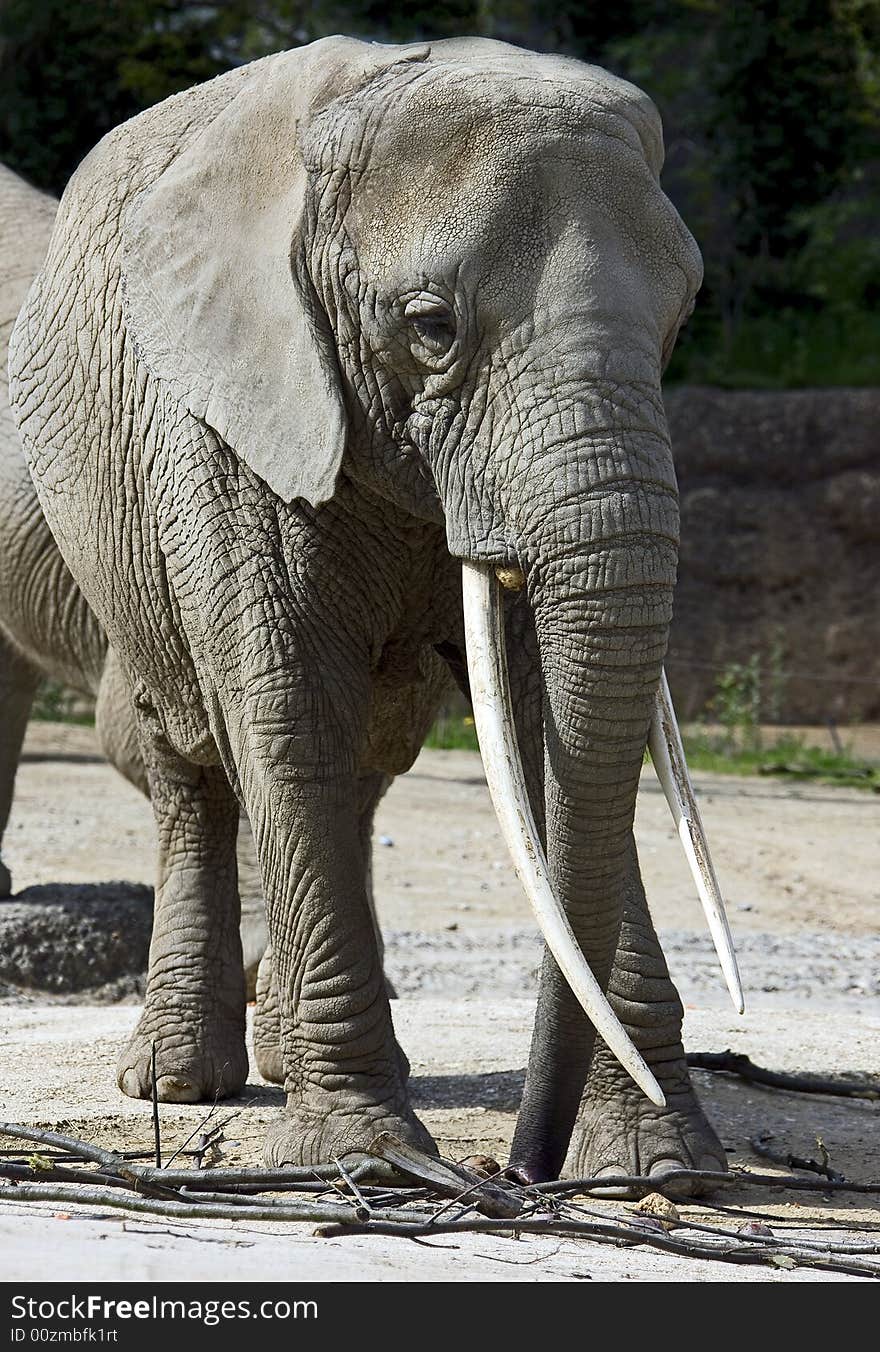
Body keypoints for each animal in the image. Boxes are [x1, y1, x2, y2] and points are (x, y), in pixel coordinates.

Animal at [10, 37, 735, 1184]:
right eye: (431, 327)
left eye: (681, 319)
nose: (524, 1166)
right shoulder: (224, 422)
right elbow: (289, 707)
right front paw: (368, 1162)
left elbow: (558, 738)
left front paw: (662, 1166)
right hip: (111, 539)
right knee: (195, 761)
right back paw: (177, 1081)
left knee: (362, 764)